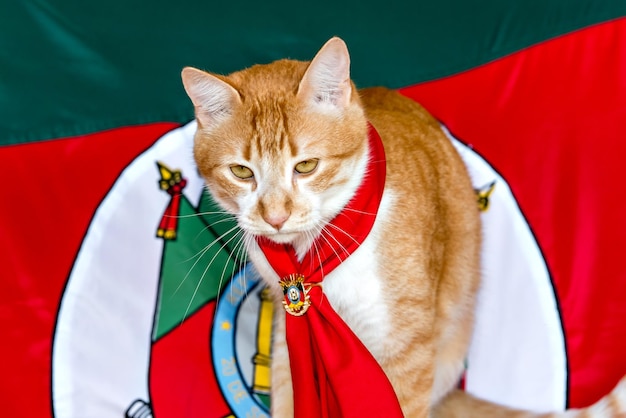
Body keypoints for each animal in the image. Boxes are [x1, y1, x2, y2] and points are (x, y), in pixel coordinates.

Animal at [180, 36, 624, 418]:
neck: (316, 257)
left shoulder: (406, 349)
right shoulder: (288, 343)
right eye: (241, 172)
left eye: (306, 166)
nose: (275, 217)